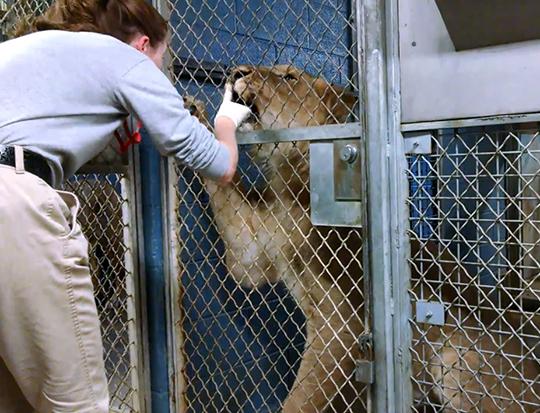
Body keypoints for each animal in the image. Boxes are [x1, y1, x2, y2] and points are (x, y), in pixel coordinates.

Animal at [185, 63, 540, 408]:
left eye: (288, 77)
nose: (235, 72)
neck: (290, 185)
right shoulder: (249, 256)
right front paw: (193, 115)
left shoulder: (342, 321)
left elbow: (303, 398)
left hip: (452, 356)